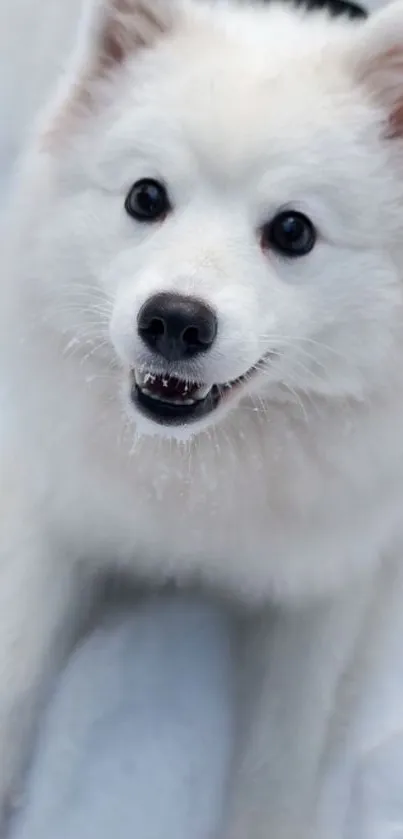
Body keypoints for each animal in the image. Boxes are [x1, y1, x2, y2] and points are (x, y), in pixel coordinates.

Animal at [2, 0, 403, 836]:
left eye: (292, 230)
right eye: (145, 197)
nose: (175, 321)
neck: (198, 478)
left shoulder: (327, 583)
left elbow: (282, 757)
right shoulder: (49, 507)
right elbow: (15, 668)